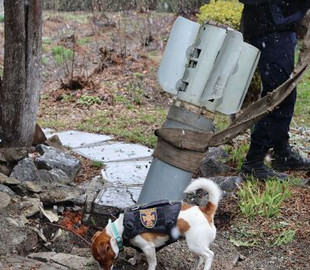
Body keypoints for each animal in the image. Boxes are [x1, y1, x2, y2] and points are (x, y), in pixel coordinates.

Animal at [91, 177, 222, 270]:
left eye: (100, 259)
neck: (121, 229)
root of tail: (206, 211)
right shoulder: (139, 246)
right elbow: (137, 252)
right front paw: (135, 260)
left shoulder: (148, 247)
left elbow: (152, 263)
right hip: (196, 245)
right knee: (200, 258)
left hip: (195, 244)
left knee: (209, 255)